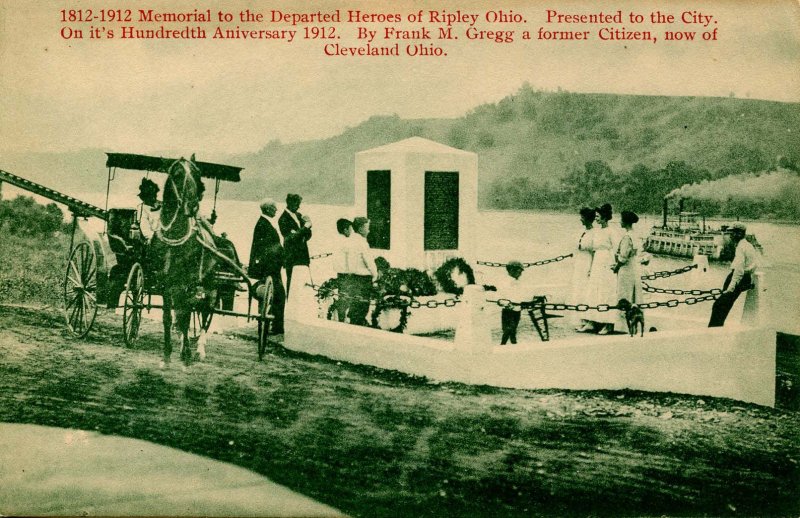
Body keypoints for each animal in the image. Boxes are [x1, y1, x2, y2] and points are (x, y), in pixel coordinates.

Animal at [156, 156, 217, 368]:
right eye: (177, 175)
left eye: (198, 174)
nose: (193, 206)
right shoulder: (166, 283)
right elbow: (168, 317)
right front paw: (167, 354)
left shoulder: (188, 283)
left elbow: (186, 317)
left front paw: (187, 354)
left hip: (208, 286)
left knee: (205, 313)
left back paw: (199, 349)